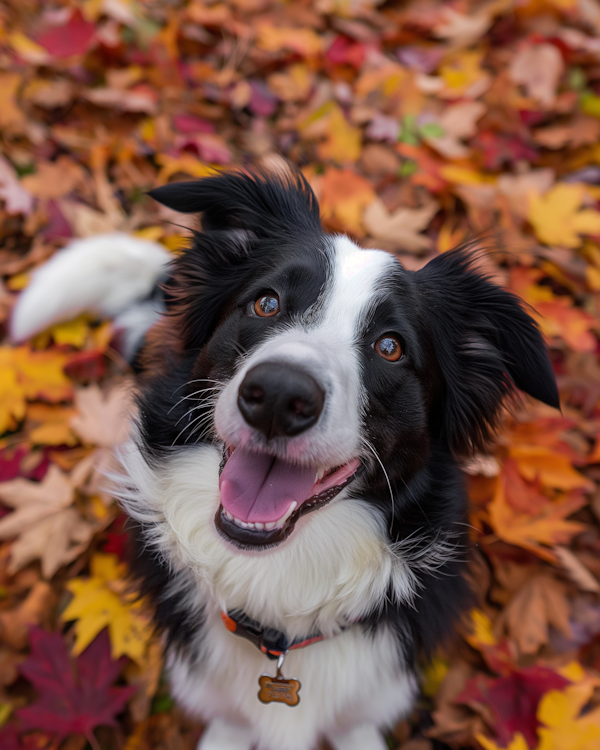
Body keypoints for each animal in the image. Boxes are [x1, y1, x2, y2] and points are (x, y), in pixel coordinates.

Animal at [9, 172, 560, 750]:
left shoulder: (363, 714)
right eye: (266, 304)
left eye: (390, 347)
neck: (280, 597)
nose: (277, 394)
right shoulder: (224, 719)